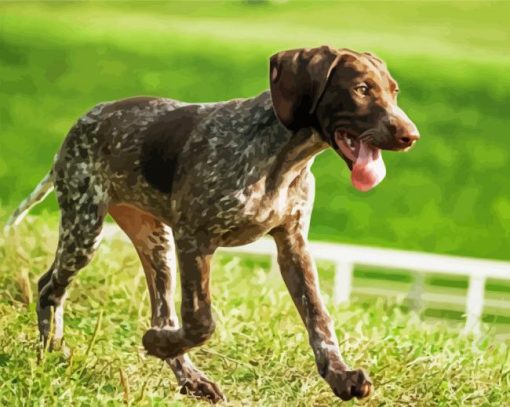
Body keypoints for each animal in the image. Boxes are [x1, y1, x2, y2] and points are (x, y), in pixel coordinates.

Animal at [6, 46, 418, 404]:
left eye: (394, 91)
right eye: (361, 89)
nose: (411, 136)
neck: (282, 159)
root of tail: (83, 121)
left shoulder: (292, 245)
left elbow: (319, 319)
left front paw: (339, 376)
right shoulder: (194, 238)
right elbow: (202, 321)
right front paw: (156, 342)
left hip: (155, 244)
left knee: (161, 312)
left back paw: (190, 378)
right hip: (86, 228)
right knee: (49, 286)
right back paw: (54, 349)